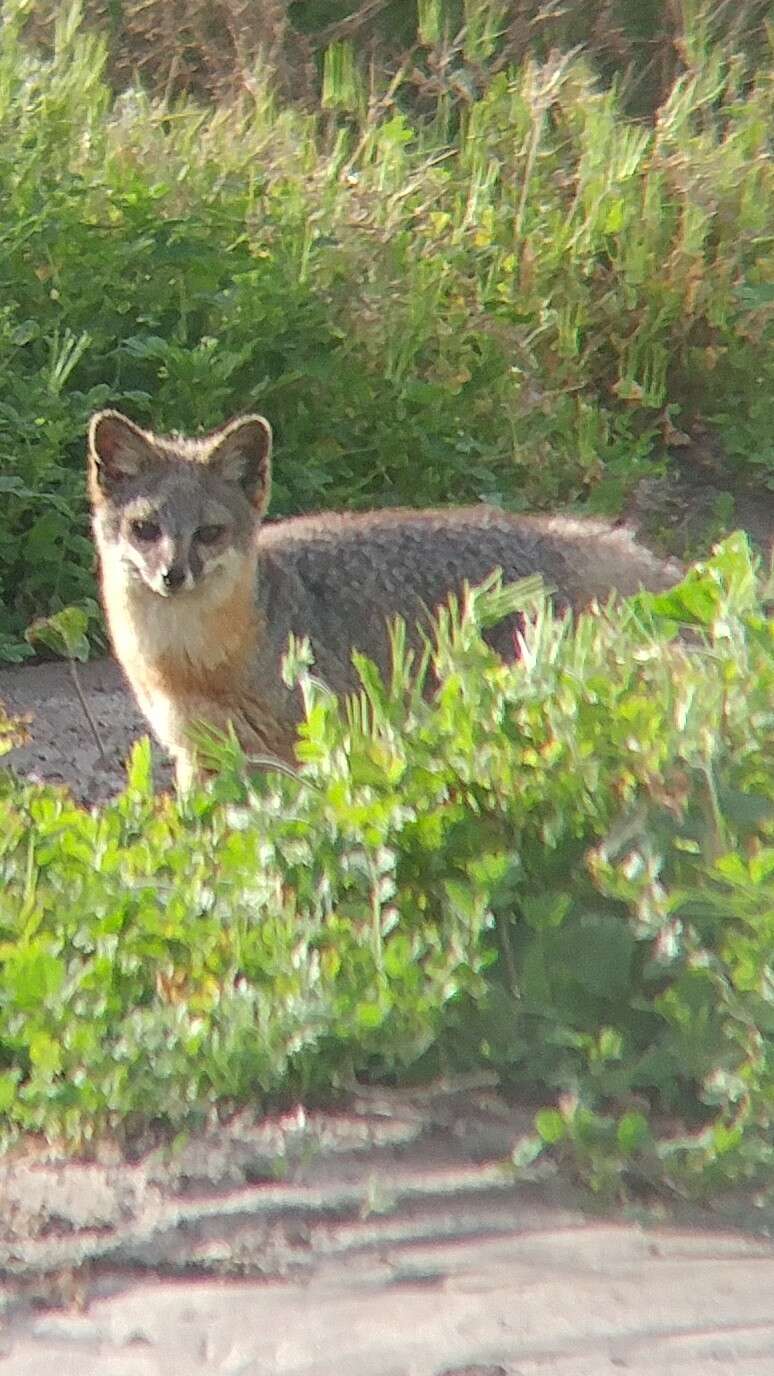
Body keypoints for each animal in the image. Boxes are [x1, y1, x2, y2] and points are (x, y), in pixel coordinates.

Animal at [87, 407, 677, 792]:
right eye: (145, 528)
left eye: (209, 533)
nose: (172, 575)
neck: (190, 665)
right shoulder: (200, 756)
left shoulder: (300, 750)